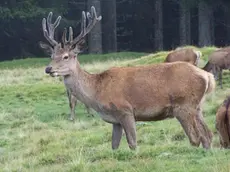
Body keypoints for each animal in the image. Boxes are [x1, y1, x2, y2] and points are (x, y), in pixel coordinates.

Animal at [39, 6, 216, 150]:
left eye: (66, 56)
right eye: (52, 55)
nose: (48, 69)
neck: (97, 91)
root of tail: (207, 76)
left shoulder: (125, 110)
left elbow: (133, 143)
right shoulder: (115, 120)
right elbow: (114, 146)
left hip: (183, 105)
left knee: (196, 138)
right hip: (197, 106)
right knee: (207, 135)